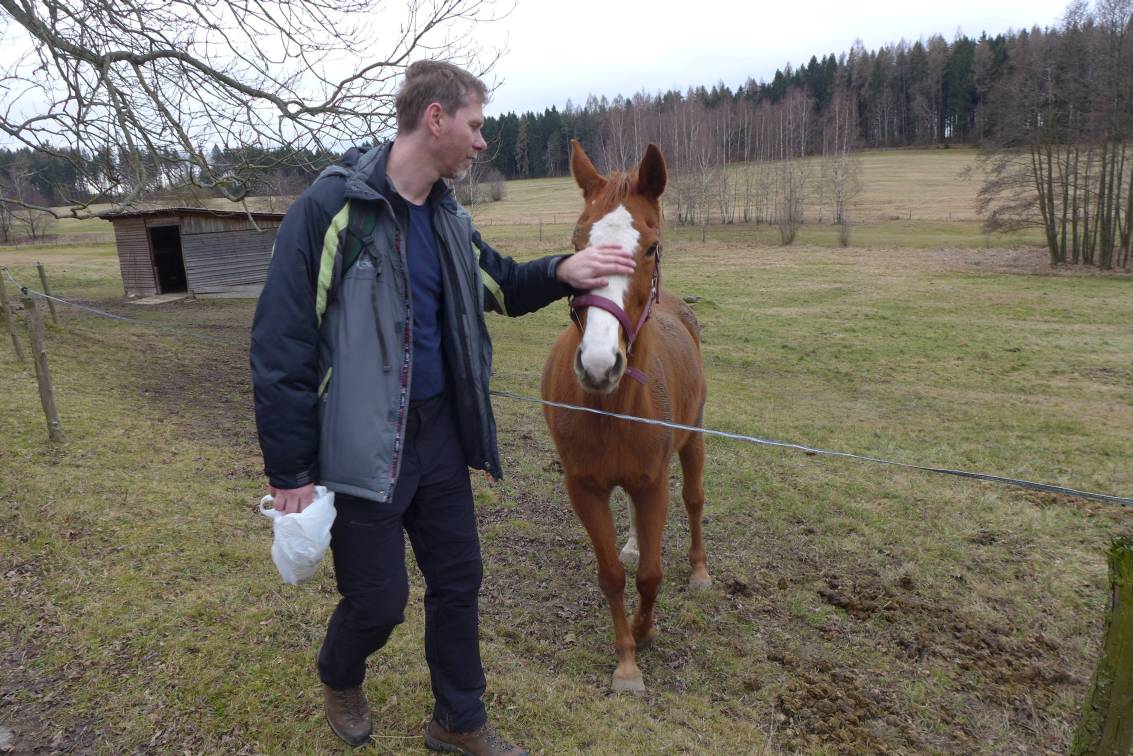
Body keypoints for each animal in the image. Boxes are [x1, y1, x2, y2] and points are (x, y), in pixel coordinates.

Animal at [539, 140, 706, 693]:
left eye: (650, 247)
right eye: (576, 243)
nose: (598, 363)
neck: (612, 407)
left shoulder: (653, 484)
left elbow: (652, 575)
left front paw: (645, 631)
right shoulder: (584, 488)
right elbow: (613, 573)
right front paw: (627, 660)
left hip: (694, 439)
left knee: (695, 500)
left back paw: (700, 571)